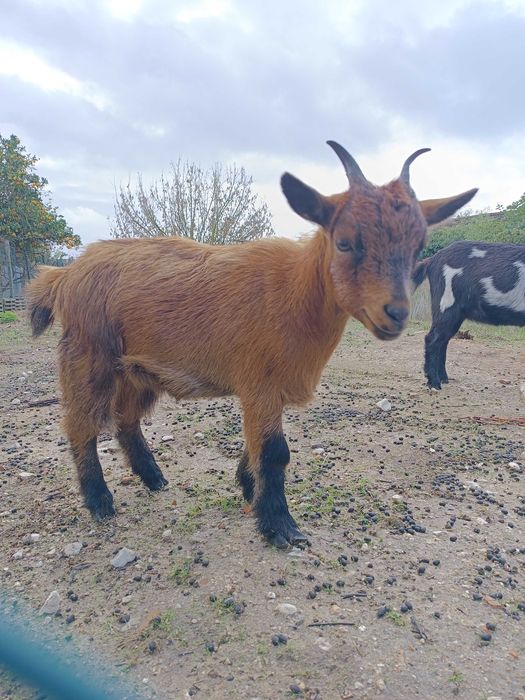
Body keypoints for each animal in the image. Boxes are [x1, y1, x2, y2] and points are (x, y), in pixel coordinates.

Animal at [26, 142, 477, 548]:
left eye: (418, 246)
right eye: (345, 241)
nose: (395, 313)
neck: (295, 292)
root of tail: (64, 275)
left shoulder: (265, 389)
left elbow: (256, 446)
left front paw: (248, 487)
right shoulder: (260, 384)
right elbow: (275, 452)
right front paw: (280, 526)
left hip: (139, 370)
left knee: (126, 420)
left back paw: (154, 479)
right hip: (88, 356)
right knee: (81, 425)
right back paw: (100, 502)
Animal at [413, 241, 525, 389]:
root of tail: (431, 260)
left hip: (456, 314)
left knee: (443, 340)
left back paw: (444, 379)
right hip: (446, 305)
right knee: (432, 339)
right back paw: (435, 384)